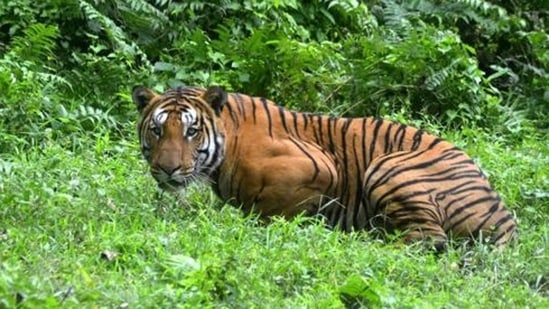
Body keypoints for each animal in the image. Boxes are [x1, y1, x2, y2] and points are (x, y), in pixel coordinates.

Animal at [131, 85, 516, 250]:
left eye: (192, 131)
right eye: (157, 130)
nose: (167, 169)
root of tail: (504, 216)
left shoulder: (320, 167)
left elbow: (270, 211)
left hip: (388, 166)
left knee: (428, 238)